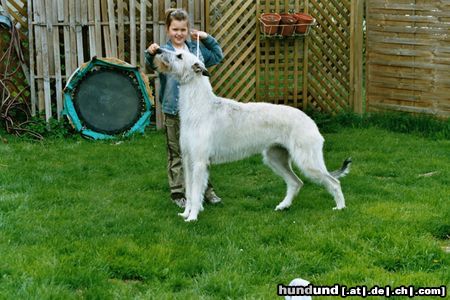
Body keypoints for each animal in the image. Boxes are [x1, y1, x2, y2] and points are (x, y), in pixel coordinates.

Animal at [153, 49, 350, 221]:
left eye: (179, 55)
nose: (157, 51)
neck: (199, 106)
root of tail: (311, 122)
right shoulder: (188, 159)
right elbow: (189, 191)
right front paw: (186, 213)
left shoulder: (200, 162)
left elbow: (195, 193)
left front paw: (193, 217)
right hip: (275, 157)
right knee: (296, 182)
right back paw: (283, 206)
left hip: (307, 161)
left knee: (334, 182)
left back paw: (340, 208)